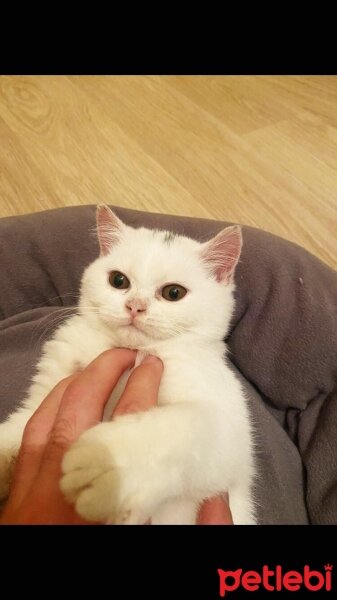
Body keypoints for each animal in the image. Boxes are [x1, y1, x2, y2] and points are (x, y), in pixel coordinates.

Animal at [0, 206, 255, 524]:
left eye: (173, 293)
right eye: (119, 281)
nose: (135, 306)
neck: (134, 351)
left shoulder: (231, 431)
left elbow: (182, 426)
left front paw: (107, 463)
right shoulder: (44, 396)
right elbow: (21, 427)